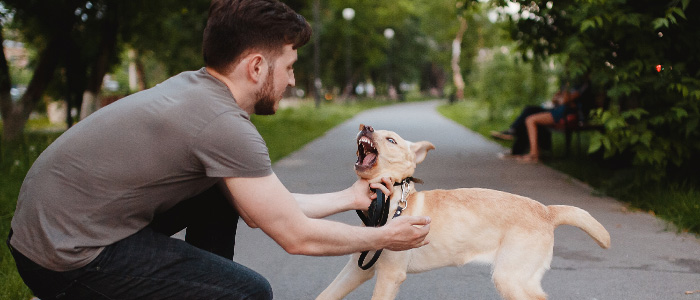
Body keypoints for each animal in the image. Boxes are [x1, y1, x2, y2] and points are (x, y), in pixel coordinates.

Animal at [314, 123, 608, 300]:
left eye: (391, 140)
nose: (366, 126)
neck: (389, 199)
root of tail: (547, 210)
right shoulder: (358, 268)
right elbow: (325, 295)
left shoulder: (390, 275)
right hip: (521, 278)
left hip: (510, 278)